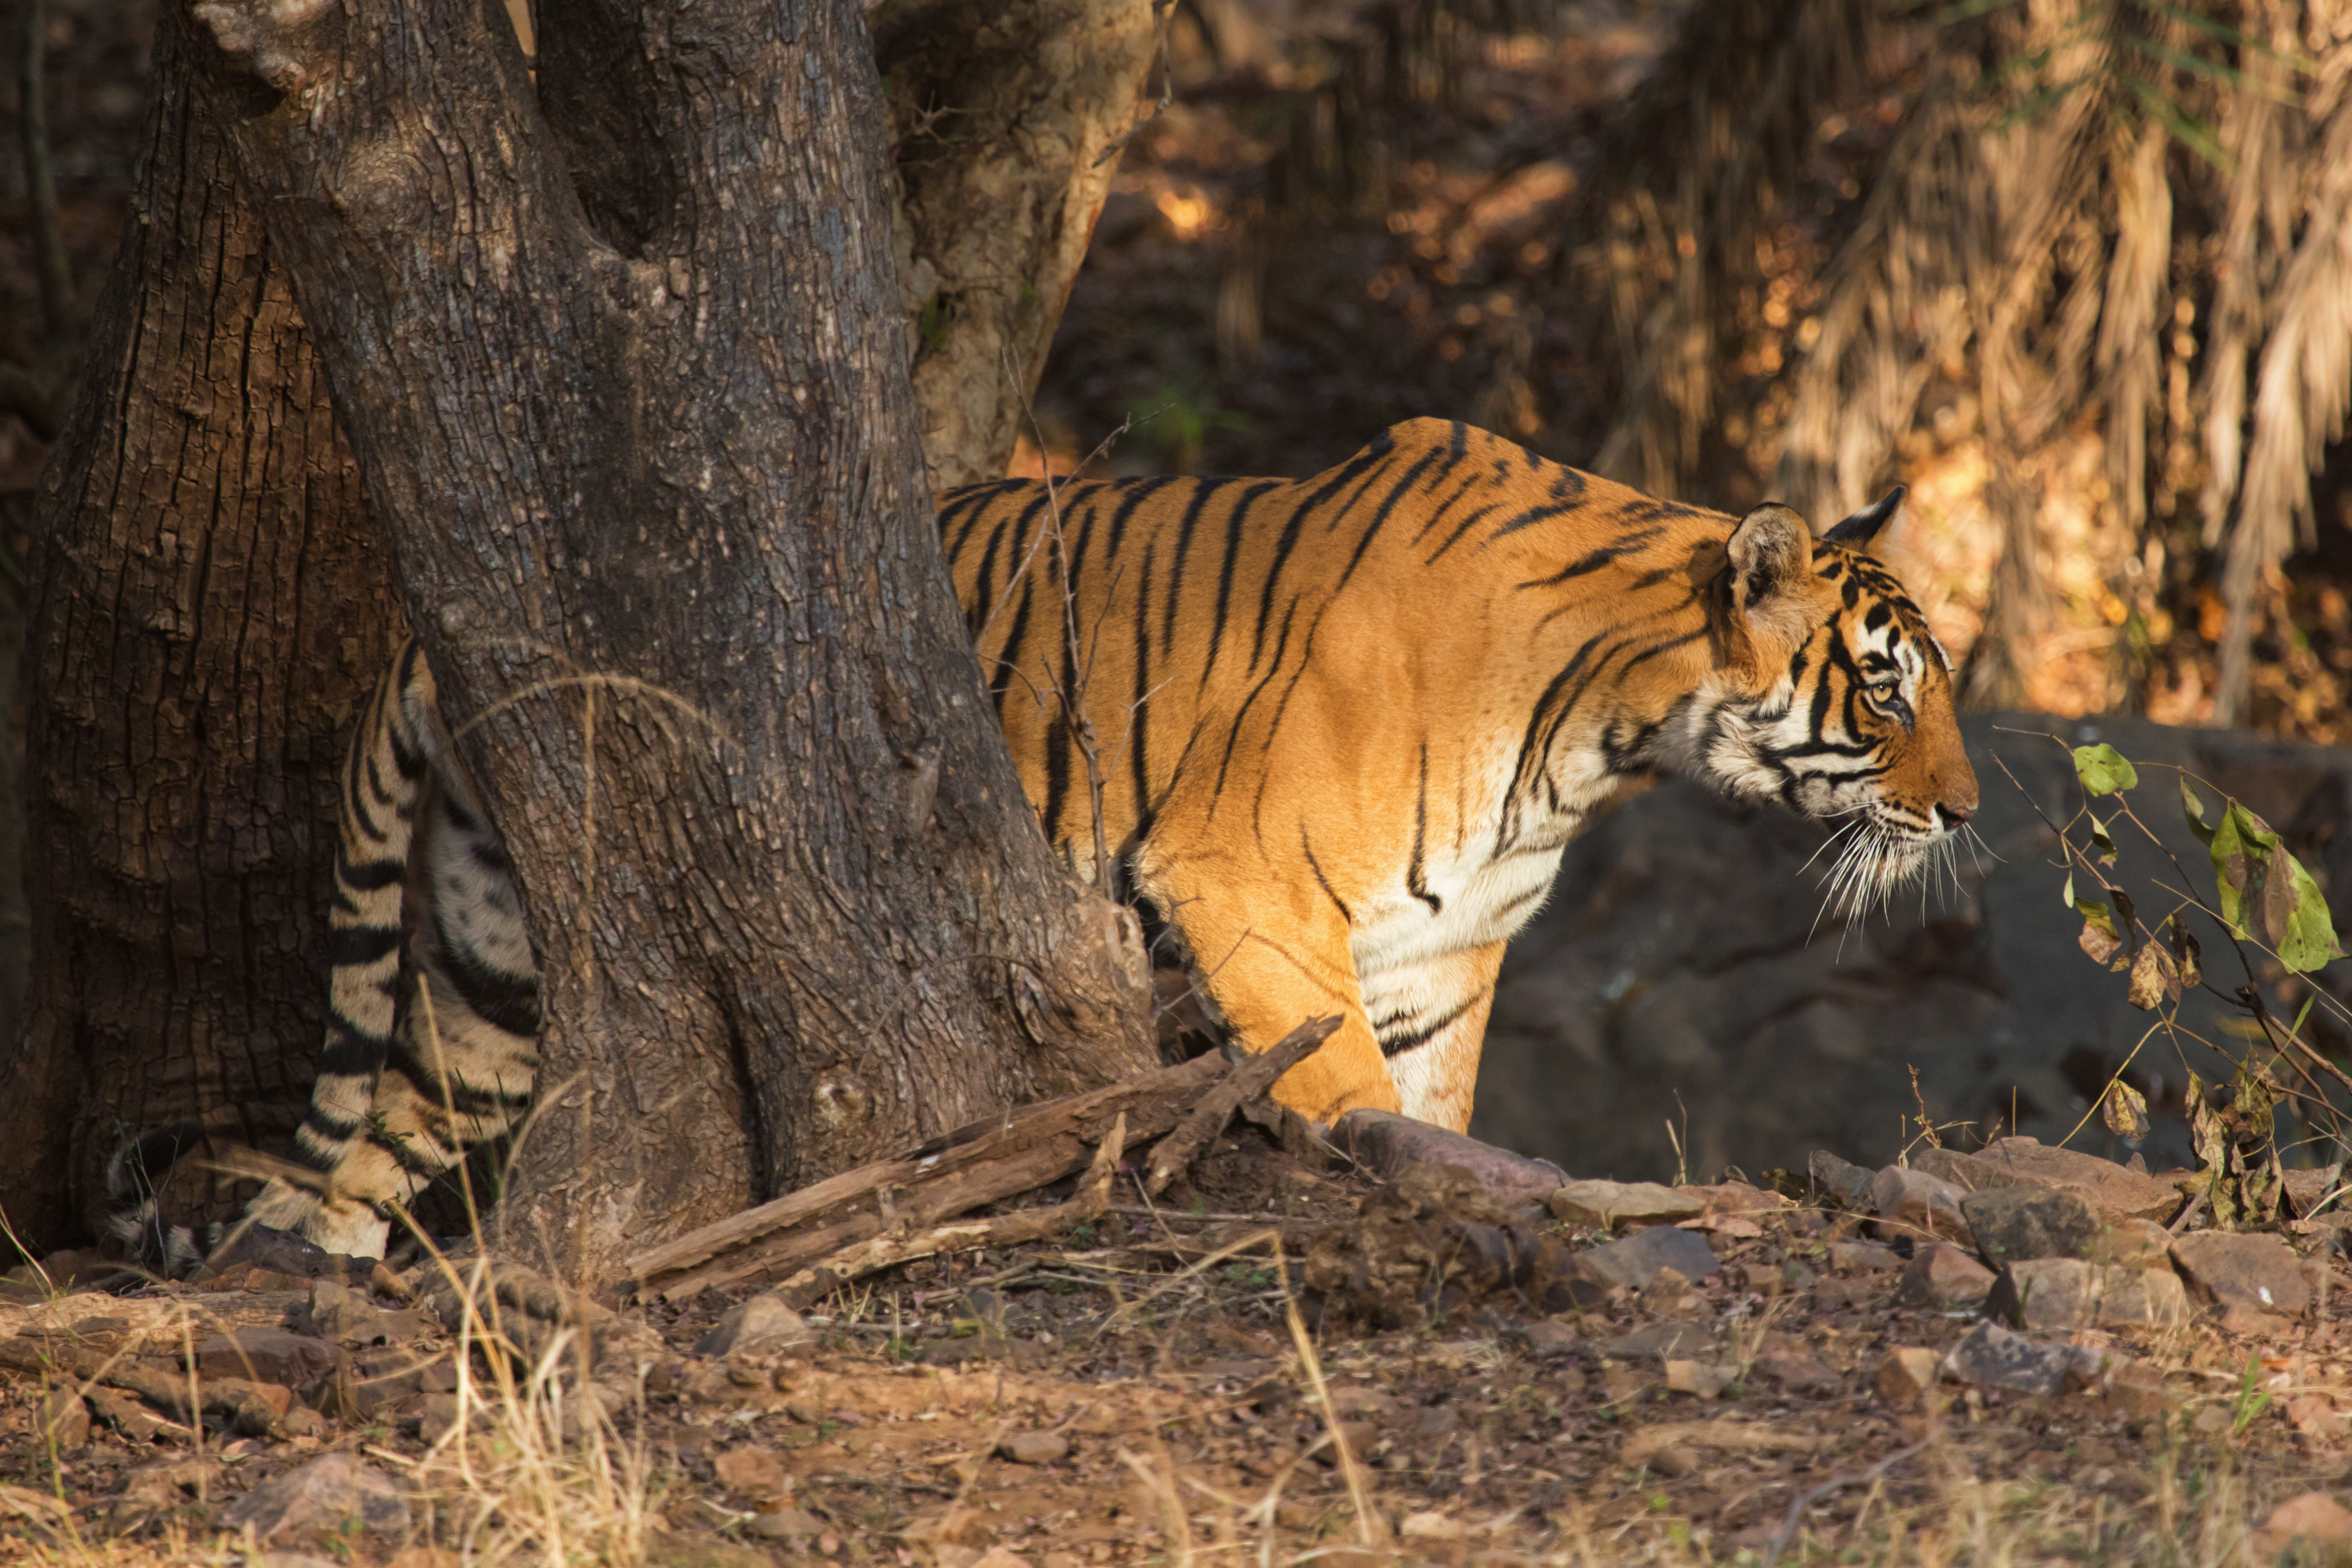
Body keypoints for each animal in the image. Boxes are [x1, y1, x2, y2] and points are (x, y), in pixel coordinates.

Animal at [110, 411, 1966, 1269]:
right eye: (1882, 690)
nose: (1958, 812)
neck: (1606, 737)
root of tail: (434, 636)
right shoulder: (1252, 893)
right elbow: (1344, 1088)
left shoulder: (1447, 948)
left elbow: (1430, 1096)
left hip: (498, 965)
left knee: (378, 1137)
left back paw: (326, 1295)